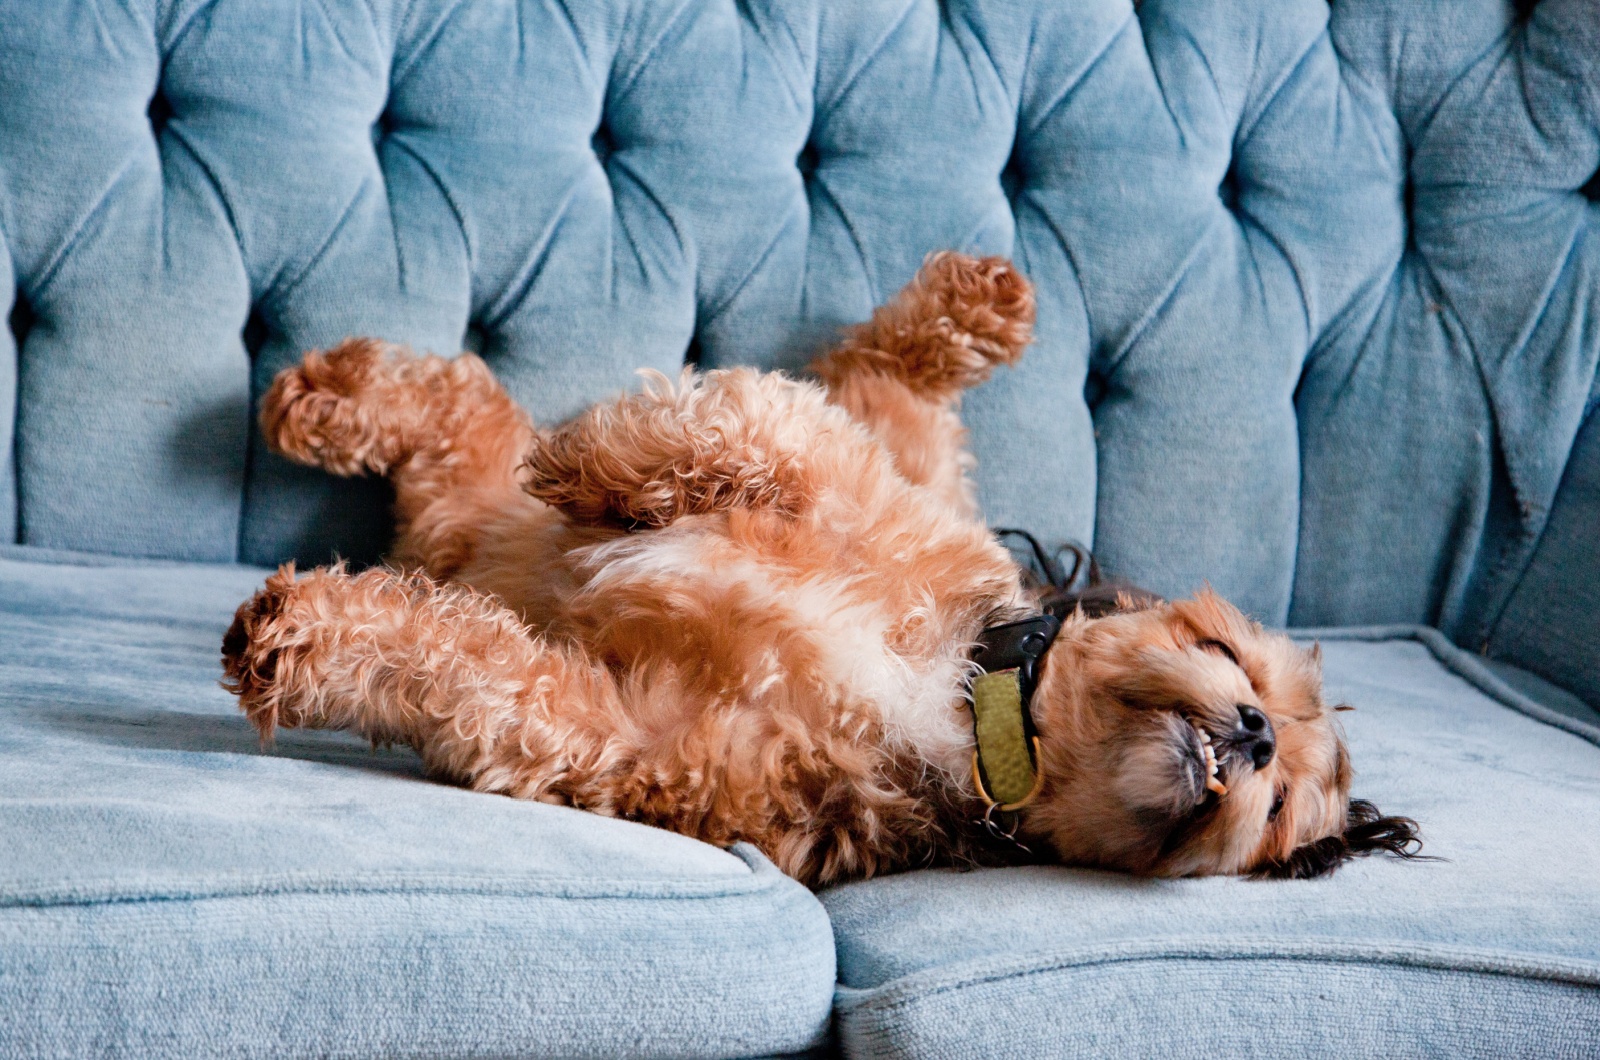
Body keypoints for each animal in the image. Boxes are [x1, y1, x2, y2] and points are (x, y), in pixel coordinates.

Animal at [219, 251, 1420, 890]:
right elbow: (752, 423)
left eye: (1277, 807)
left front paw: (304, 638)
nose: (1254, 732)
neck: (966, 705)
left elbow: (481, 674)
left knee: (459, 412)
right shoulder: (860, 492)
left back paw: (329, 405)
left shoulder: (635, 736)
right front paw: (606, 469)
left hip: (454, 510)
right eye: (1225, 652)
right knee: (883, 381)